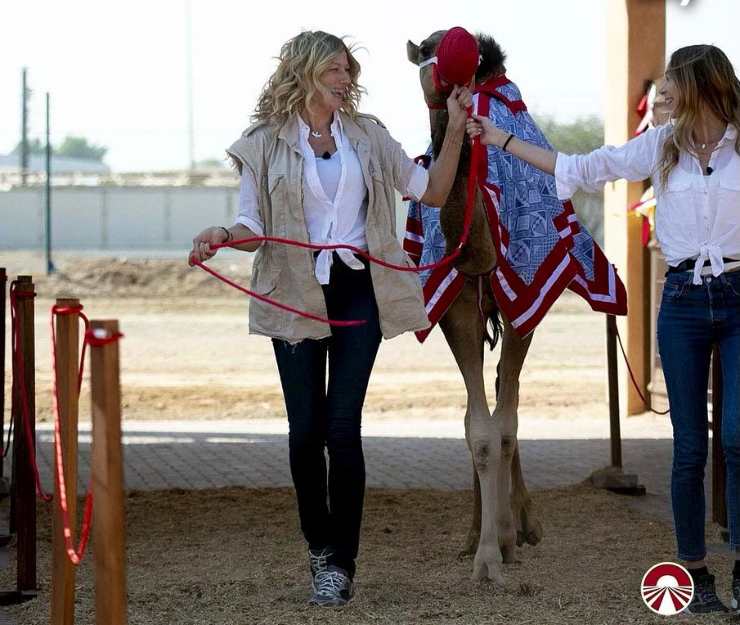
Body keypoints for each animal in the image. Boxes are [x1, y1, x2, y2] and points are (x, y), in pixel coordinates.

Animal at [404, 31, 544, 584]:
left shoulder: (522, 301)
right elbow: (477, 431)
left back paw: (523, 525)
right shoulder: (458, 307)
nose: (449, 87)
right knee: (484, 401)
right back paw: (475, 535)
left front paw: (503, 540)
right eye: (424, 57)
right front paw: (484, 554)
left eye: (452, 55)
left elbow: (504, 427)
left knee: (510, 392)